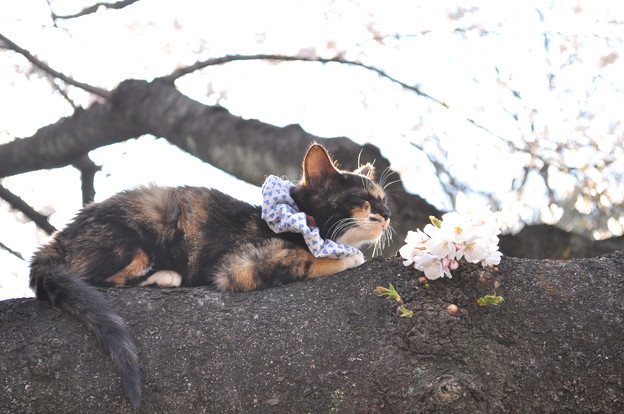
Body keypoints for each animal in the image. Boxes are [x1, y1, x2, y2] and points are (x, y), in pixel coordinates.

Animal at [30, 144, 390, 410]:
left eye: (384, 198)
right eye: (363, 199)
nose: (387, 214)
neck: (300, 219)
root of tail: (54, 242)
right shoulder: (242, 263)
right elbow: (307, 259)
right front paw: (346, 257)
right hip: (139, 229)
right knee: (97, 279)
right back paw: (164, 276)